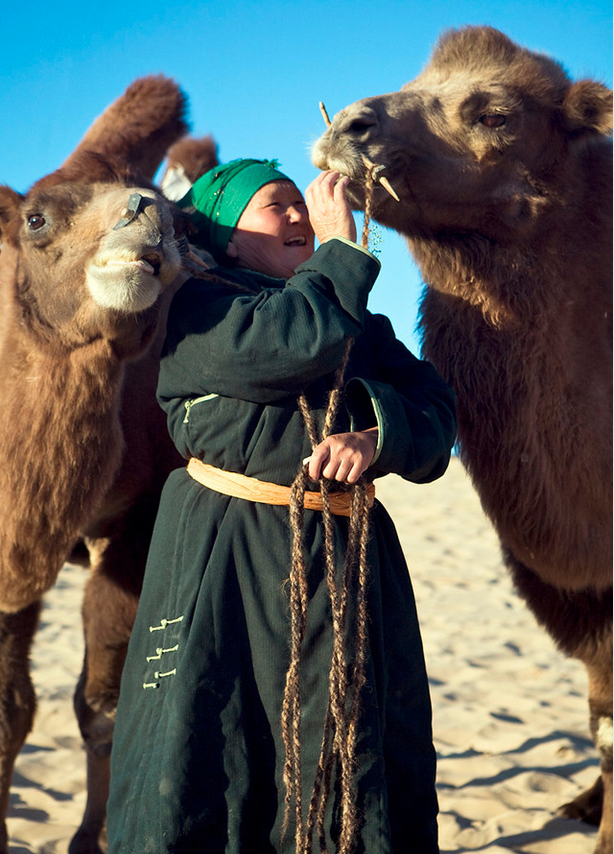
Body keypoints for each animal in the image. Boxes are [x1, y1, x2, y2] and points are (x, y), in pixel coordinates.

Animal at [0, 77, 217, 854]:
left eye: (179, 222)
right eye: (35, 218)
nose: (147, 214)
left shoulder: (135, 526)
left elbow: (102, 705)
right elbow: (10, 708)